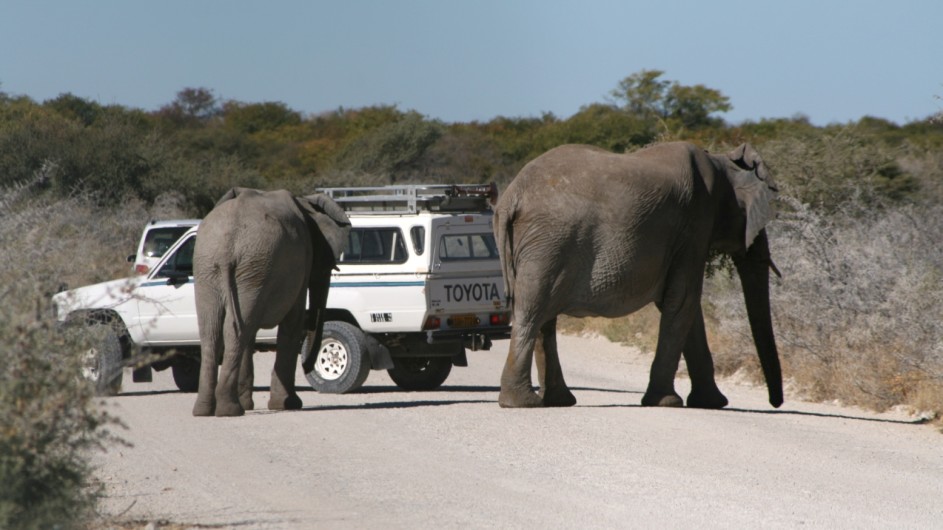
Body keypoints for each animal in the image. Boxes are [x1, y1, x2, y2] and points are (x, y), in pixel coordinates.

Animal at [192, 188, 350, 414]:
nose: (308, 367)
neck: (305, 202)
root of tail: (225, 249)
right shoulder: (301, 264)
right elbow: (293, 323)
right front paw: (288, 404)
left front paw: (250, 404)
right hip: (250, 264)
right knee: (234, 331)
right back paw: (230, 410)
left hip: (213, 267)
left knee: (212, 330)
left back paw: (205, 411)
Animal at [494, 140, 780, 408]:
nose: (775, 403)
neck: (722, 162)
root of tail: (512, 195)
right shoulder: (696, 225)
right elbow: (683, 300)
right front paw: (668, 402)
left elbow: (687, 307)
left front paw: (712, 403)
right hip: (550, 242)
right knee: (533, 311)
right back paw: (523, 403)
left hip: (541, 246)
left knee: (543, 315)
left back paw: (556, 401)